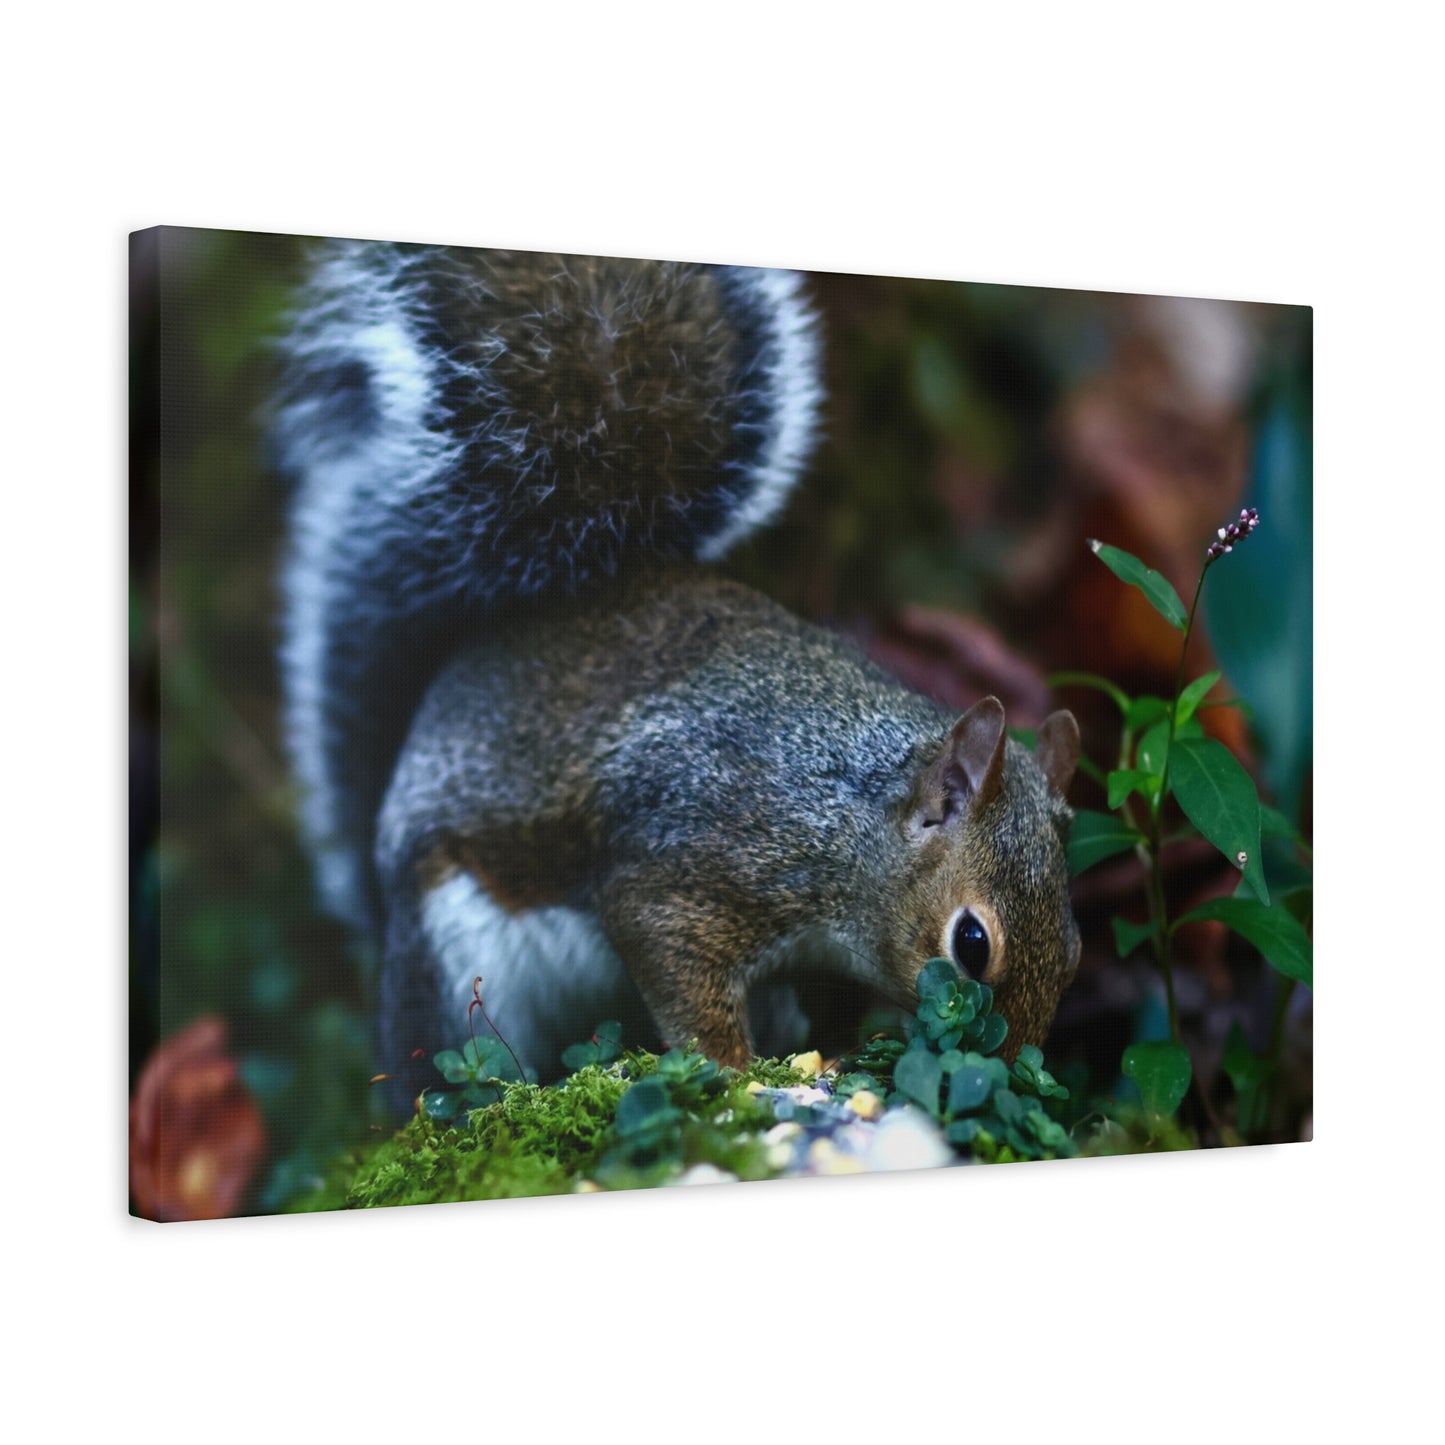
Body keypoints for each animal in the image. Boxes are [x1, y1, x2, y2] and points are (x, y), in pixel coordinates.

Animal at [272, 241, 1083, 1106]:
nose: (1013, 1071)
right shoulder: (702, 858)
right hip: (455, 957)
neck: (850, 816)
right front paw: (732, 1071)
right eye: (972, 943)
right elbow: (670, 957)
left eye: (1072, 948)